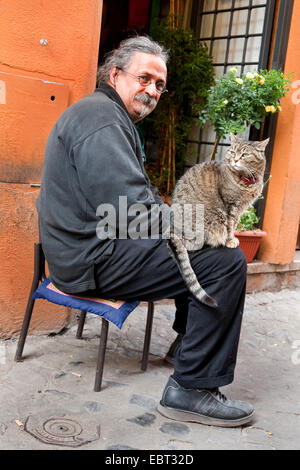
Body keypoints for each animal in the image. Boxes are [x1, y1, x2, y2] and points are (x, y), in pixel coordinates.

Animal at [169, 133, 270, 308]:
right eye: (232, 151)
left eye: (244, 154)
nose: (234, 160)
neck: (246, 181)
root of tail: (172, 229)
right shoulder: (231, 206)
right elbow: (230, 226)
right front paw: (230, 241)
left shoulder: (241, 209)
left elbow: (235, 225)